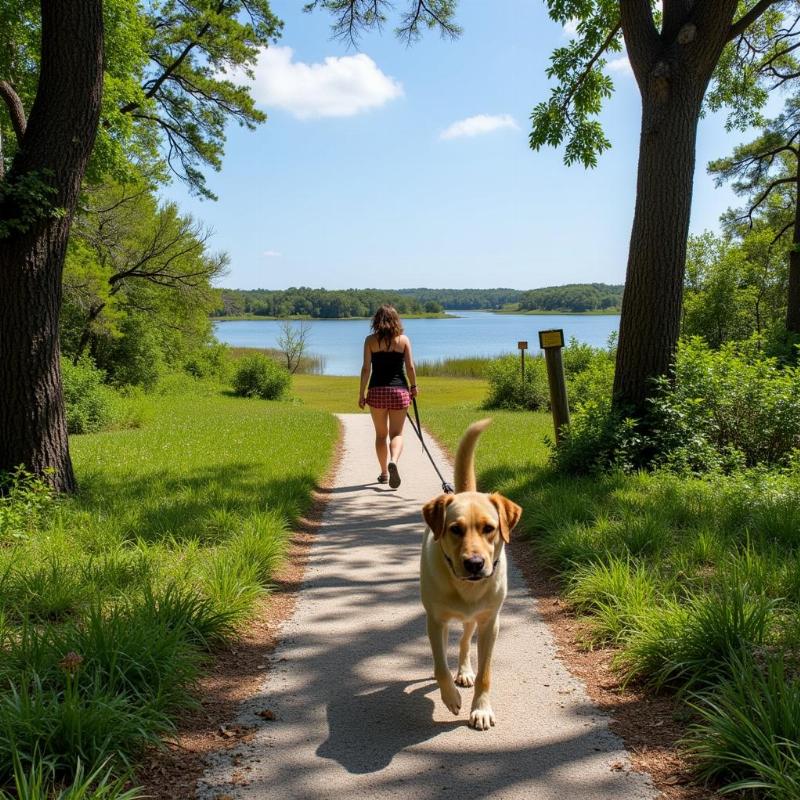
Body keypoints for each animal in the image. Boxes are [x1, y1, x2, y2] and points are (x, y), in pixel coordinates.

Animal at [422, 422, 520, 728]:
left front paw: (481, 709)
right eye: (455, 529)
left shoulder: (490, 623)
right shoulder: (435, 619)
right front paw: (450, 698)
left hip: (473, 619)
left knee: (465, 641)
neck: (464, 587)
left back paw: (464, 671)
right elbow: (441, 664)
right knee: (444, 648)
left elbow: (485, 673)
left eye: (489, 528)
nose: (475, 563)